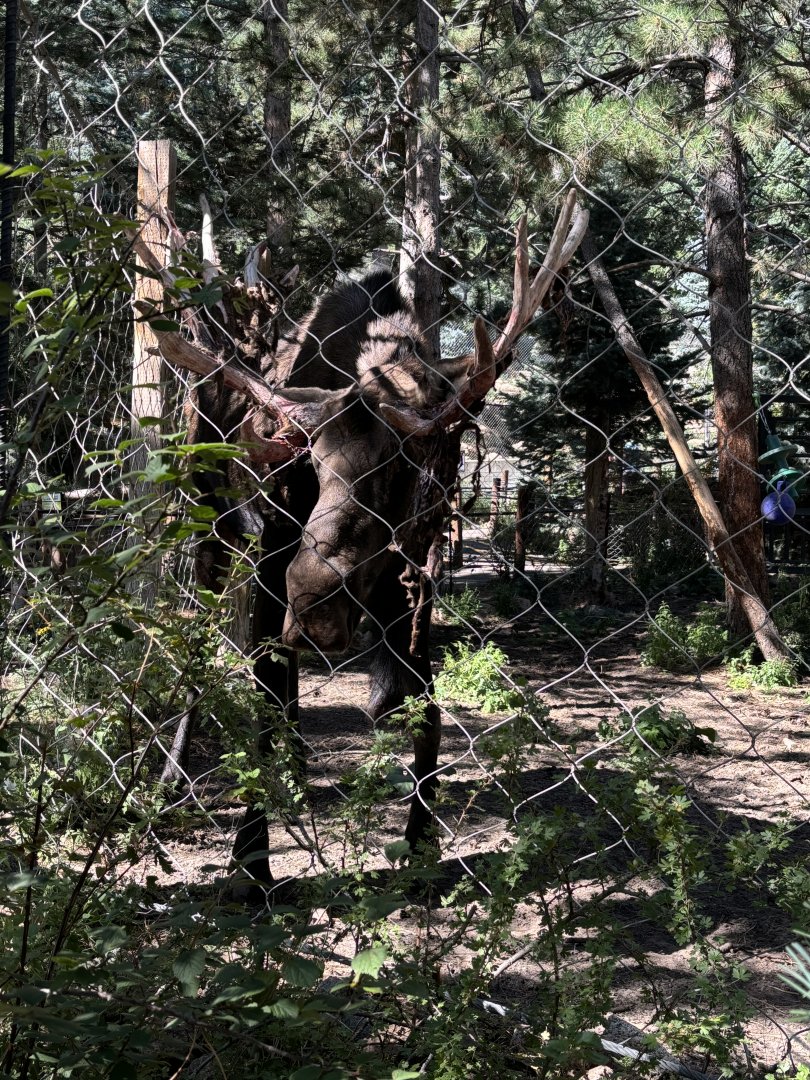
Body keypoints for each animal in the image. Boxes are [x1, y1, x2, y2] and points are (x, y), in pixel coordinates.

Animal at [134, 191, 588, 888]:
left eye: (401, 465)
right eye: (311, 464)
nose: (315, 602)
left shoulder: (410, 574)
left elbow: (425, 708)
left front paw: (423, 844)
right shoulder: (274, 556)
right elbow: (261, 700)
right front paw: (251, 861)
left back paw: (296, 765)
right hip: (212, 527)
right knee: (205, 656)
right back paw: (174, 778)